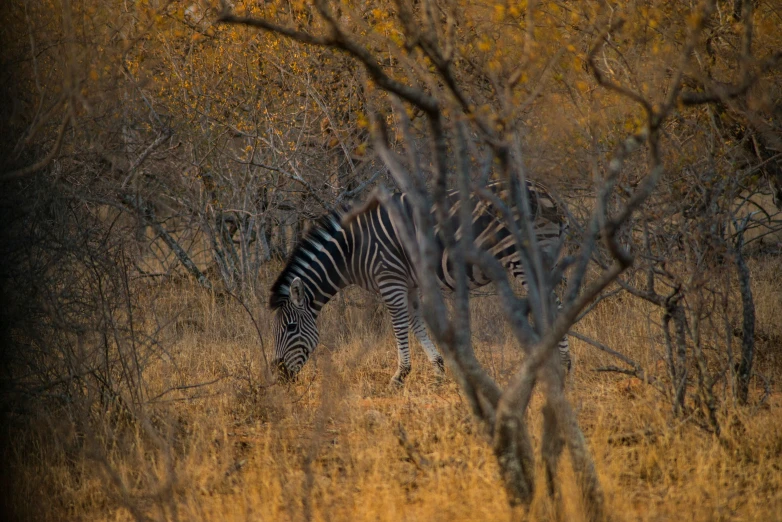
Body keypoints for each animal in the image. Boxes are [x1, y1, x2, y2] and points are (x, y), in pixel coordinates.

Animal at [272, 181, 572, 384]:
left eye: (290, 327)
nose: (279, 377)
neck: (352, 249)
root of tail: (547, 194)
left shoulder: (390, 278)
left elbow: (399, 324)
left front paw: (400, 375)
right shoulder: (410, 283)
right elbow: (416, 323)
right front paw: (438, 369)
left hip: (523, 256)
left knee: (552, 303)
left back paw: (563, 364)